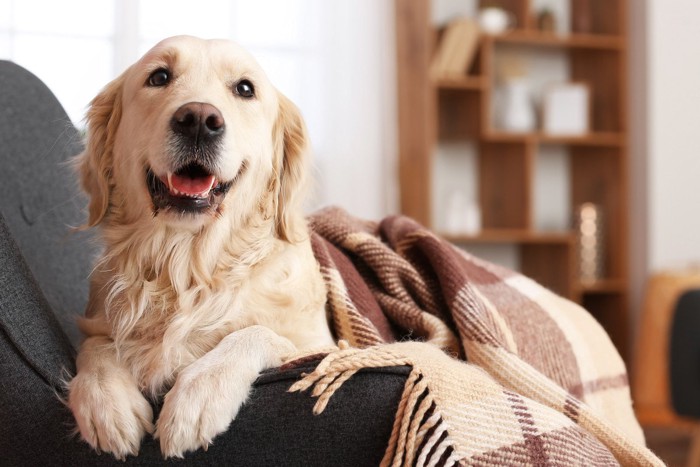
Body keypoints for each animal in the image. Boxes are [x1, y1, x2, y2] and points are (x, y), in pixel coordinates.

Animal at [67, 35, 334, 460]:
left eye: (245, 88)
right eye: (159, 77)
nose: (198, 119)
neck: (187, 265)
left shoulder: (327, 346)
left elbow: (257, 333)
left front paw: (199, 395)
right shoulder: (99, 321)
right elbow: (95, 345)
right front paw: (104, 399)